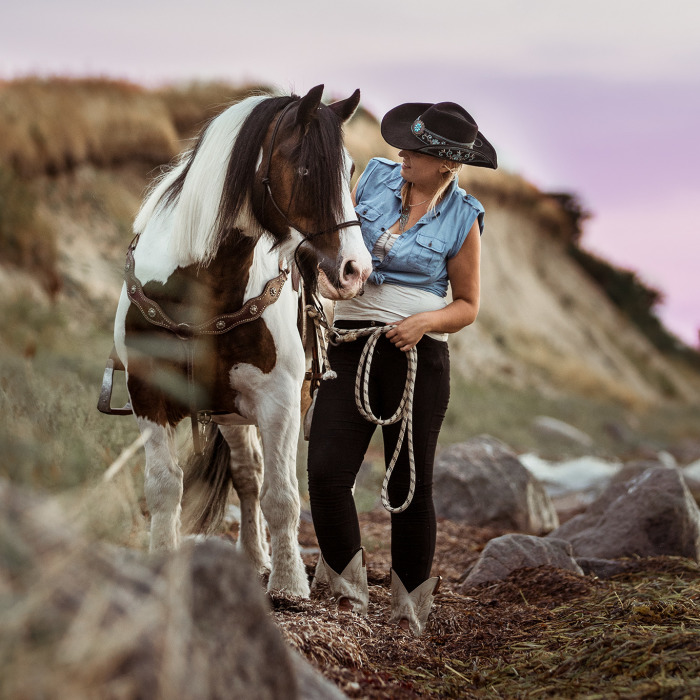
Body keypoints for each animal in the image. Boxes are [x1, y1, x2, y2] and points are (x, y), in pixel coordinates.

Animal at [111, 85, 372, 596]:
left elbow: (283, 496)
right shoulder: (149, 394)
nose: (357, 269)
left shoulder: (280, 401)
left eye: (350, 169)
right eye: (306, 168)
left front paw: (289, 585)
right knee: (247, 475)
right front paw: (161, 563)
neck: (203, 285)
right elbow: (164, 487)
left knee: (319, 480)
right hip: (230, 411)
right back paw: (253, 557)